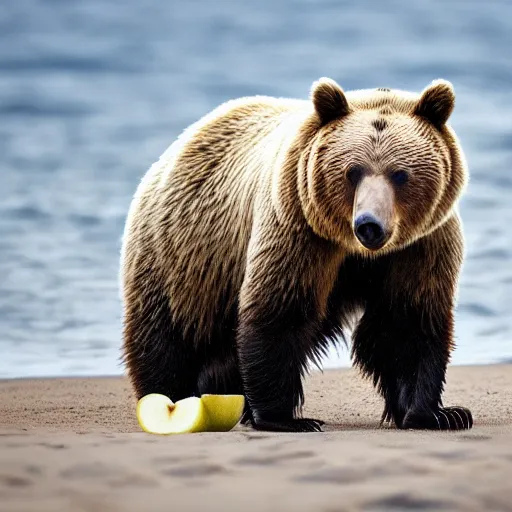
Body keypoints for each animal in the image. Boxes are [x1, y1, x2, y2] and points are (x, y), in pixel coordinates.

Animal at [120, 77, 472, 432]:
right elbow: (280, 310)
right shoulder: (297, 227)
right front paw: (286, 418)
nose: (369, 225)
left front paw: (439, 413)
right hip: (185, 257)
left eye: (400, 174)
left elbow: (407, 323)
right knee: (167, 336)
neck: (356, 250)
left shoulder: (420, 244)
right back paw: (170, 403)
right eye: (352, 171)